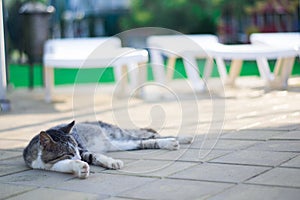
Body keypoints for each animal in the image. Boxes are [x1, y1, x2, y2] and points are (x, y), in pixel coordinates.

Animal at [22, 120, 192, 178]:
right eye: (69, 153)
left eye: (76, 149)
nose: (79, 158)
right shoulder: (47, 165)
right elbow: (62, 165)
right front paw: (79, 167)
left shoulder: (83, 150)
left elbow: (94, 155)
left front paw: (111, 162)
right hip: (121, 143)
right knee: (144, 141)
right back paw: (171, 142)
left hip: (120, 134)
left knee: (149, 135)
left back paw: (180, 139)